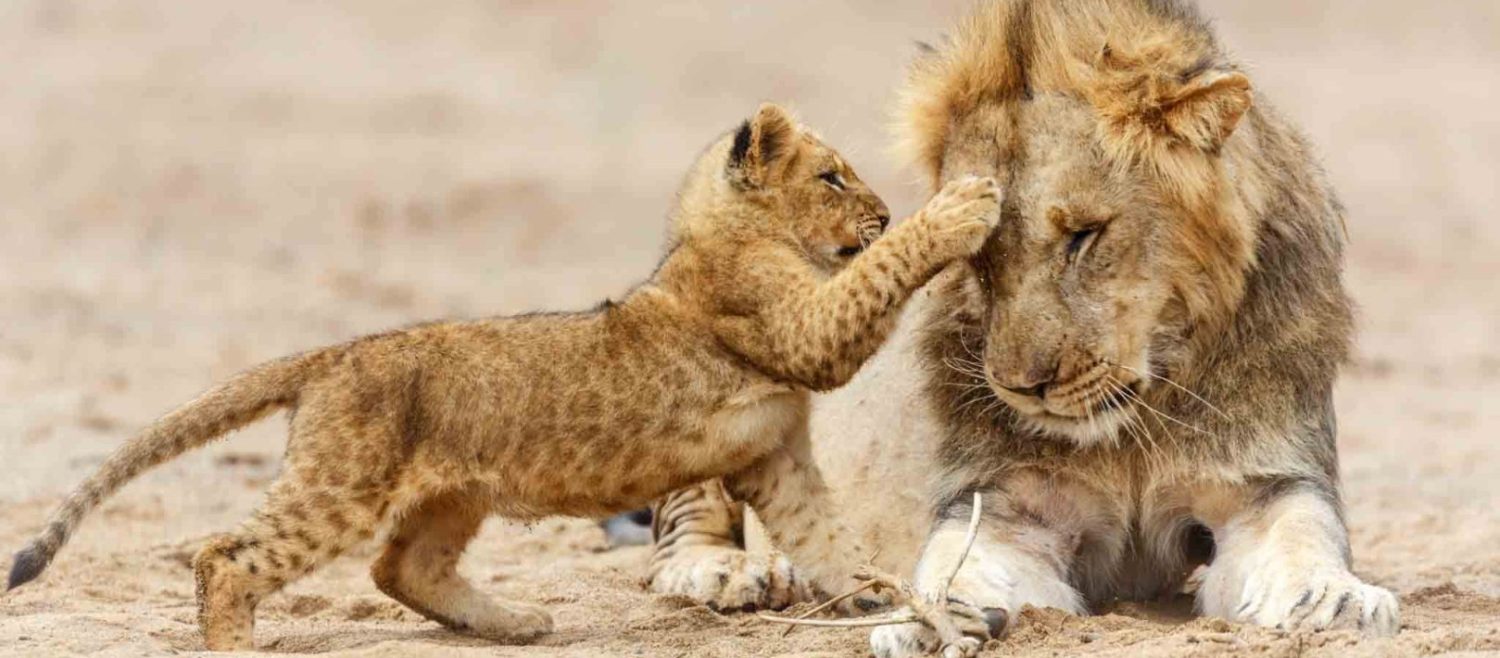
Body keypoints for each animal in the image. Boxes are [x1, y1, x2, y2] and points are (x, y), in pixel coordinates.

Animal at [4, 102, 1004, 651]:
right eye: (833, 177)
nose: (881, 212)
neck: (712, 239)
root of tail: (335, 352)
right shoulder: (798, 330)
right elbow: (872, 284)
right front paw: (964, 204)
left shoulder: (776, 458)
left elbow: (828, 536)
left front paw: (880, 596)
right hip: (341, 484)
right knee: (226, 557)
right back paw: (239, 647)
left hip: (449, 494)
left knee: (399, 568)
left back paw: (518, 622)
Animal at [644, 2, 1399, 656]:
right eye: (977, 253)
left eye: (1084, 236)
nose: (1022, 389)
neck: (1133, 425)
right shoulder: (1005, 504)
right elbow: (959, 562)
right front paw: (928, 617)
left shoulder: (1265, 481)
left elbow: (1302, 537)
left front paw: (1334, 602)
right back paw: (732, 574)